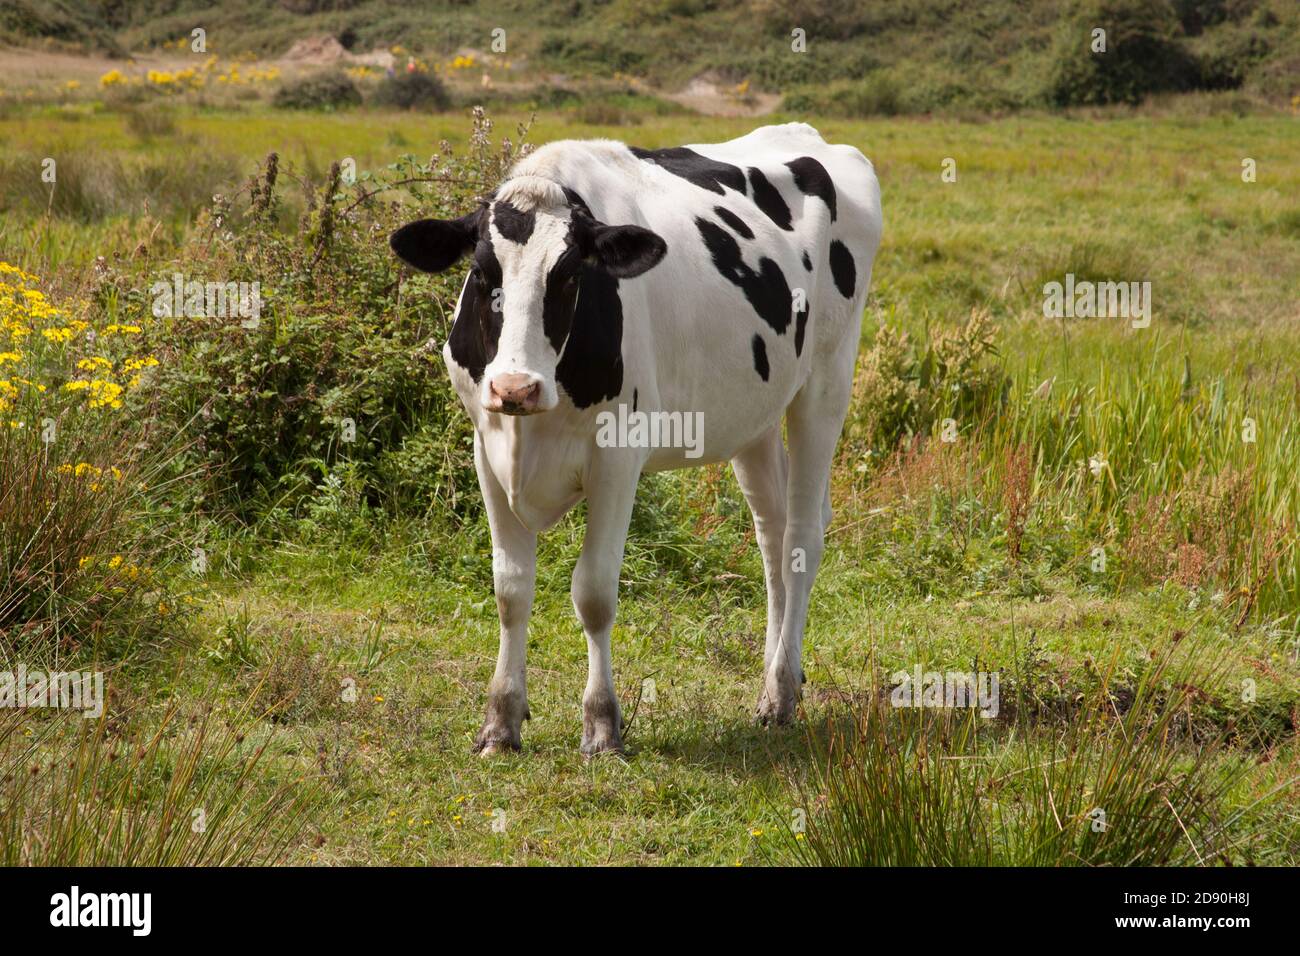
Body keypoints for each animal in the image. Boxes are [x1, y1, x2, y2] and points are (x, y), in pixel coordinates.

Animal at [390, 123, 882, 755]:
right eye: (481, 273)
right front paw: (500, 721)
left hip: (826, 381)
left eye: (570, 275)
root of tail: (811, 137)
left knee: (801, 538)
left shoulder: (617, 457)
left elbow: (595, 592)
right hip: (754, 413)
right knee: (771, 535)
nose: (516, 386)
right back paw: (779, 676)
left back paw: (780, 695)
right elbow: (510, 589)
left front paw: (602, 725)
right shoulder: (487, 446)